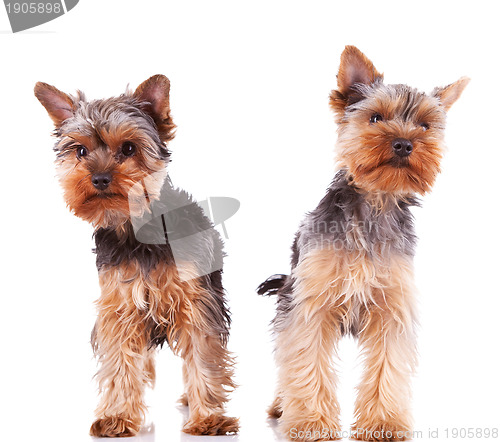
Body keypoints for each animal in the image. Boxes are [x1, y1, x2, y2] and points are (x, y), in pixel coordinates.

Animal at [34, 74, 238, 436]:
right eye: (80, 151)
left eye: (128, 148)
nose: (100, 178)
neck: (136, 228)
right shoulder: (120, 307)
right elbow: (119, 360)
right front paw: (117, 416)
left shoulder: (196, 302)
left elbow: (203, 353)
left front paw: (208, 417)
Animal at [260, 46, 470, 440]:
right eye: (375, 118)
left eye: (425, 125)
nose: (403, 143)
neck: (374, 202)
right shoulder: (310, 304)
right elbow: (305, 358)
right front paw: (311, 422)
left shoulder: (392, 307)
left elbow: (388, 365)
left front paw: (383, 423)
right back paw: (282, 406)